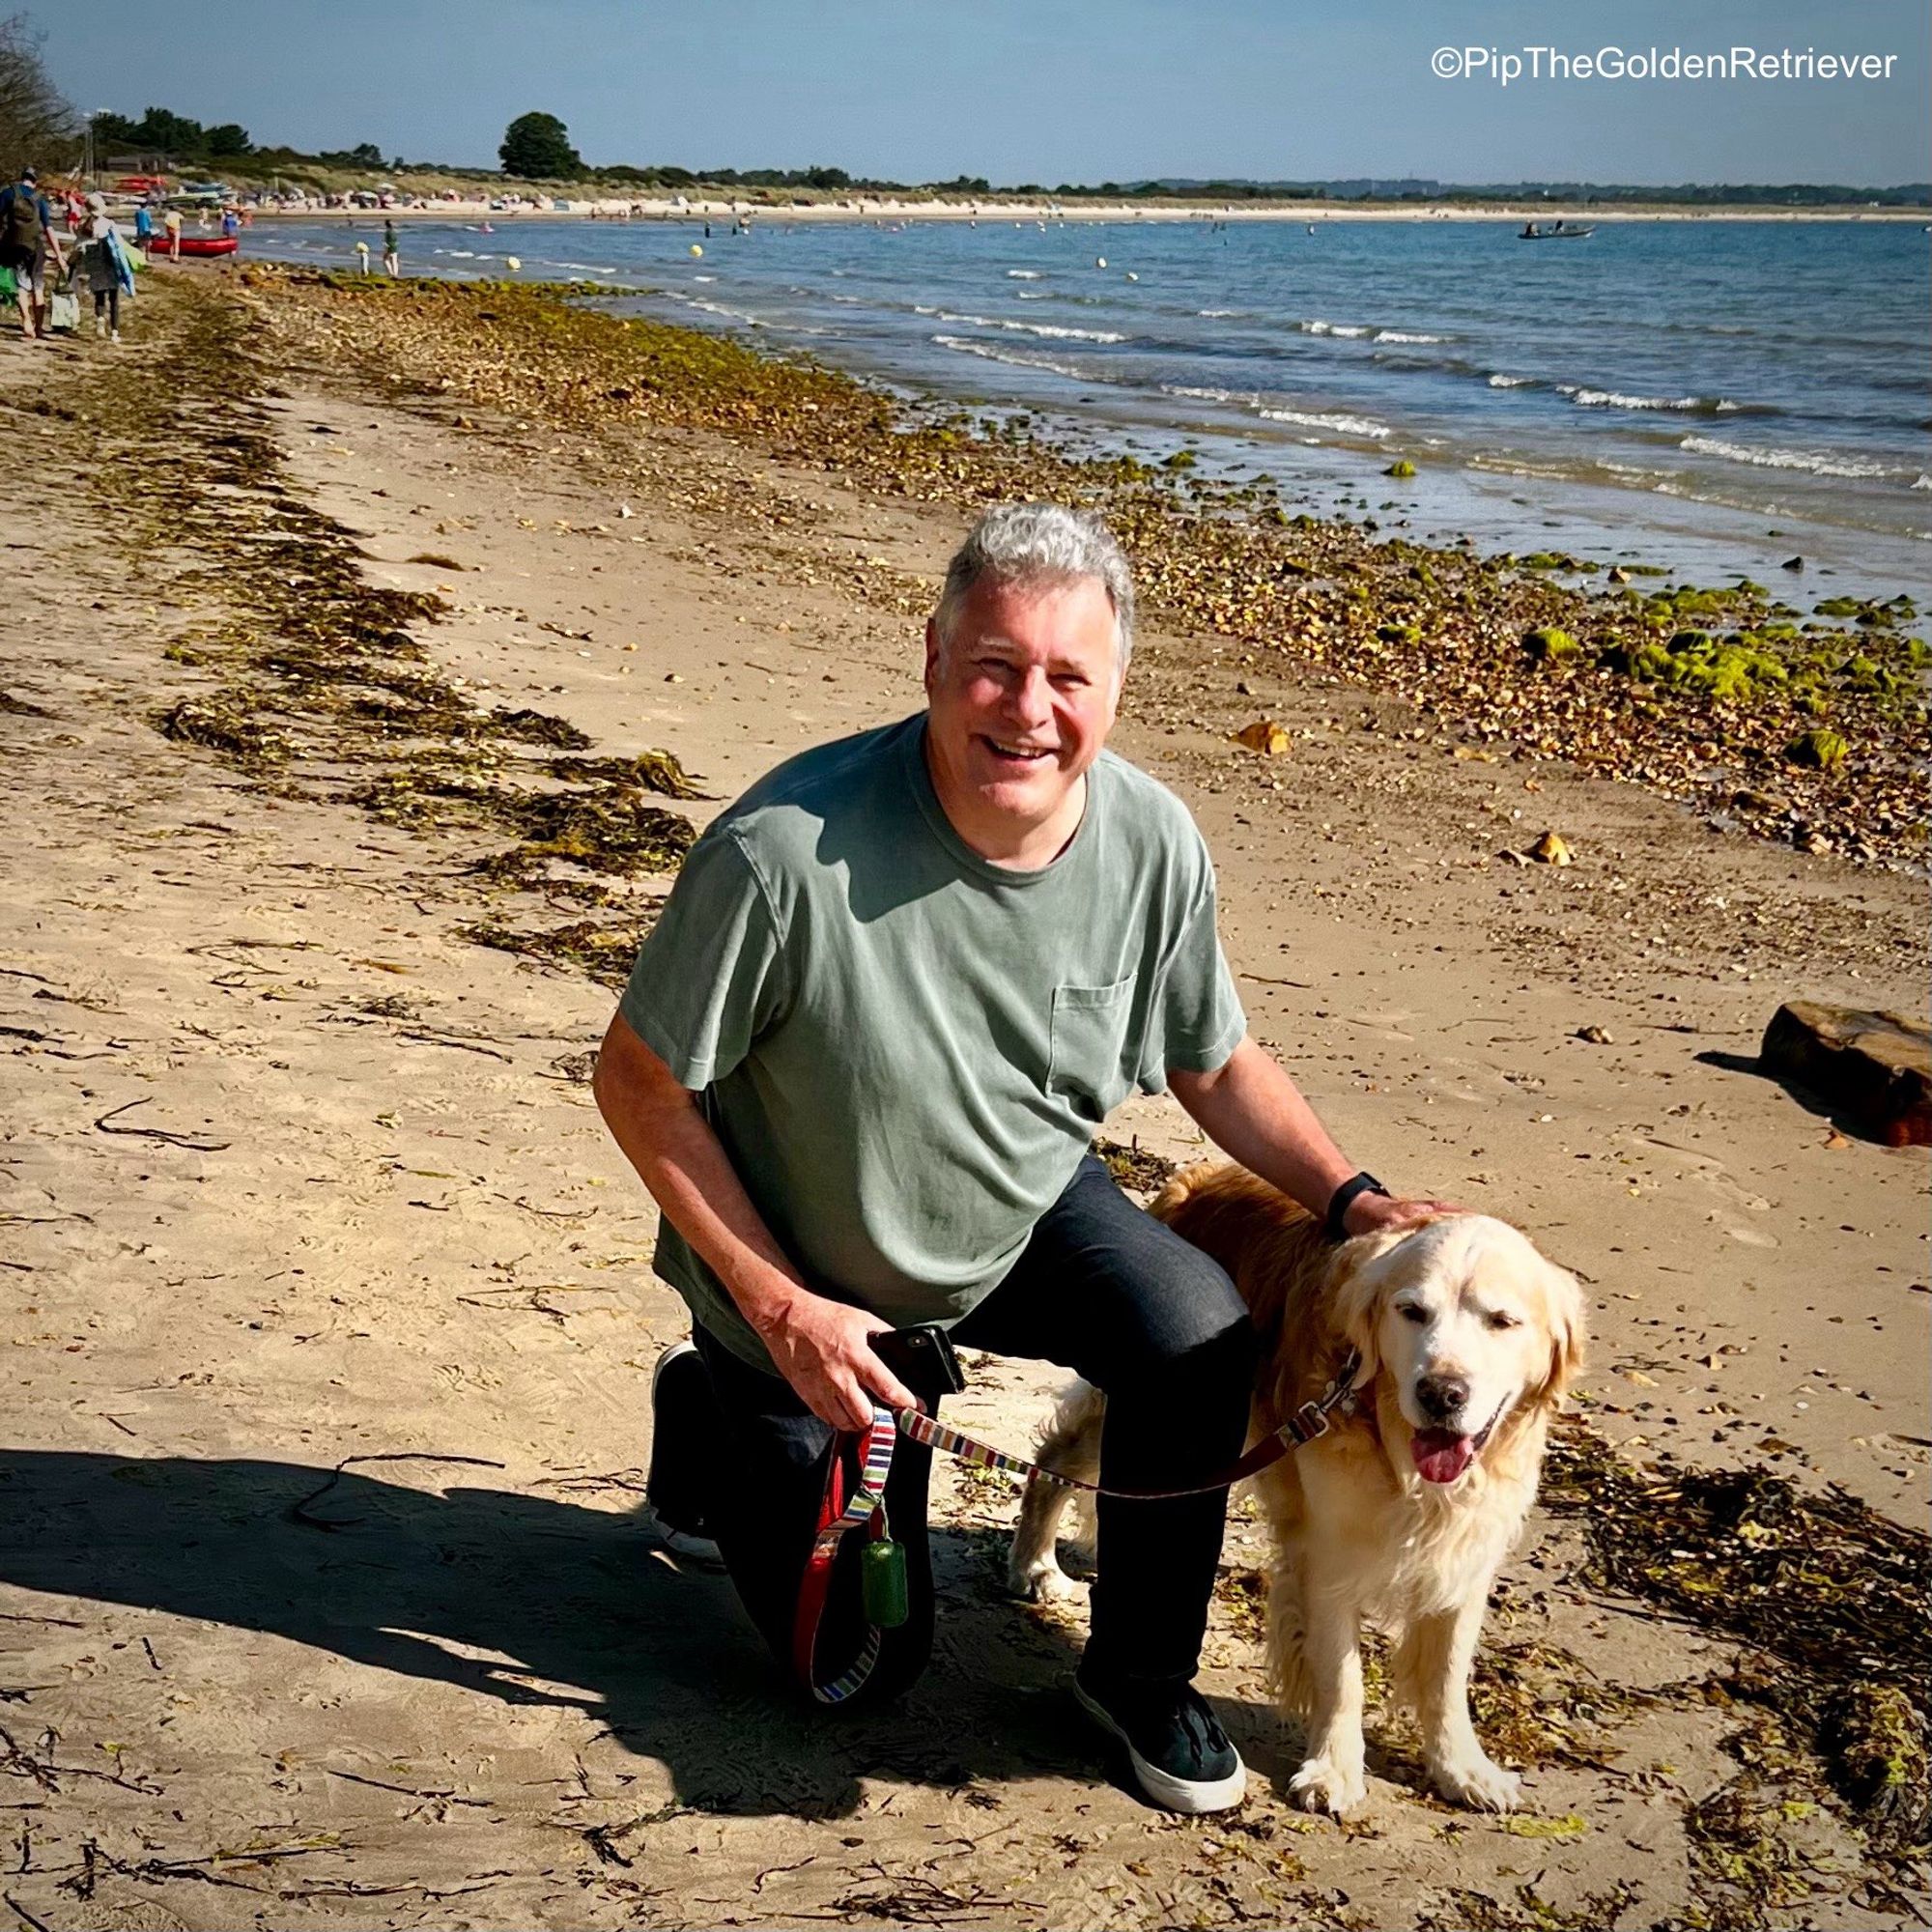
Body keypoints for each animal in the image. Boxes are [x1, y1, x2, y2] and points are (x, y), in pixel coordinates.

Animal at [1012, 1167, 1584, 1816]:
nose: (1442, 1394)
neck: (1402, 1464)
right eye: (1412, 1312)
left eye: (1502, 1321)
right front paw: (1334, 1770)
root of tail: (1196, 1176)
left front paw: (1463, 1768)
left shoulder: (1467, 1553)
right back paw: (1036, 1565)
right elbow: (1342, 1675)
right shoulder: (1330, 1556)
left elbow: (1446, 1676)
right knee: (1055, 1461)